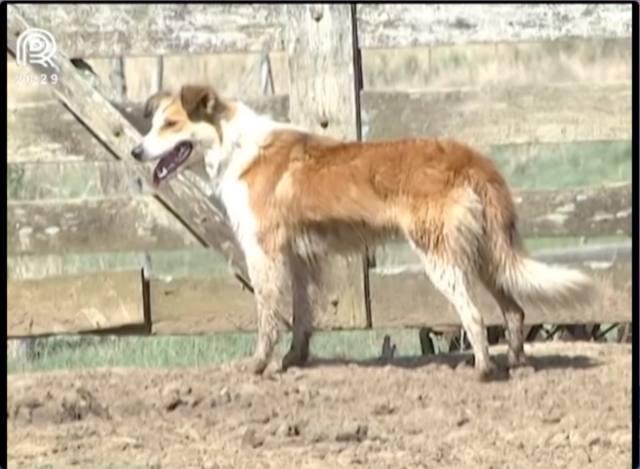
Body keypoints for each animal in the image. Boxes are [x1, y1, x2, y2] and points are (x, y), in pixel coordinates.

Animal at [131, 85, 596, 380]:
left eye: (170, 124)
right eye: (154, 124)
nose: (135, 151)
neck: (235, 147)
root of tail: (470, 157)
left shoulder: (264, 253)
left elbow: (267, 317)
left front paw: (259, 366)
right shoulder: (301, 259)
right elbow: (302, 318)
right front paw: (295, 361)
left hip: (441, 256)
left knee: (475, 315)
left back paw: (483, 371)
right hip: (484, 254)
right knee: (513, 310)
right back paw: (518, 364)